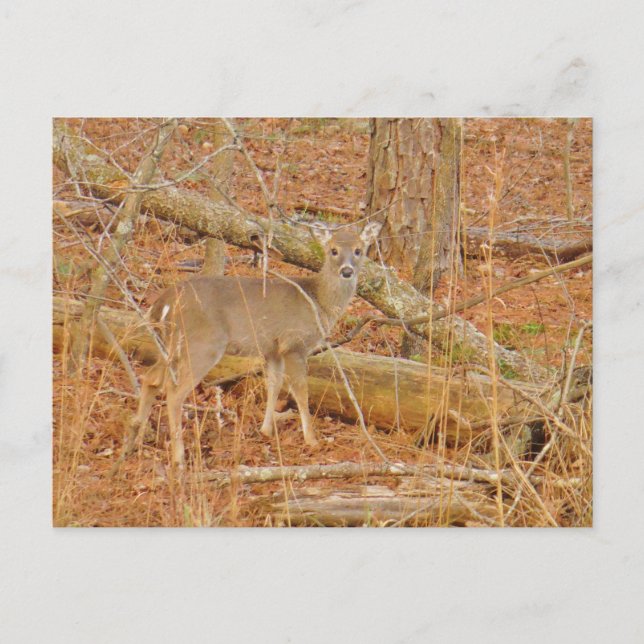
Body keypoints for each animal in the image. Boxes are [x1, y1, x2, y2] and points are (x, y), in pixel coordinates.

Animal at [123, 220, 382, 469]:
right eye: (333, 250)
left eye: (359, 250)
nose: (347, 271)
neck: (318, 303)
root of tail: (163, 302)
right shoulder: (294, 344)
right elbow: (300, 390)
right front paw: (311, 439)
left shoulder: (272, 349)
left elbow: (274, 384)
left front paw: (266, 430)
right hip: (203, 344)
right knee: (174, 392)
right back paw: (178, 456)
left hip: (170, 346)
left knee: (150, 378)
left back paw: (136, 439)